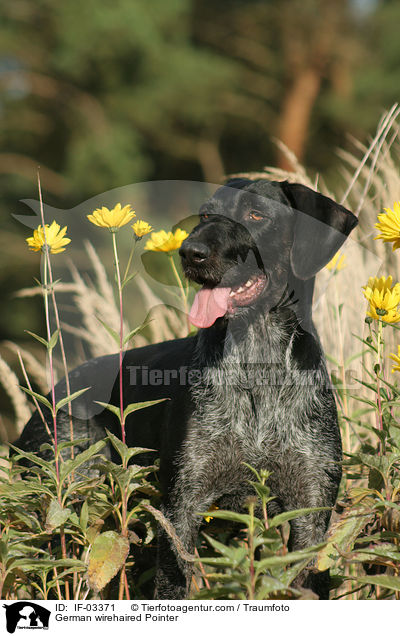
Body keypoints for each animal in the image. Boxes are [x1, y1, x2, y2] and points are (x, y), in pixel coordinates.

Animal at [17, 180, 358, 600]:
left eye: (257, 215)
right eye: (207, 214)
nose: (190, 252)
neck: (258, 364)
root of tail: (54, 393)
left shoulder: (311, 509)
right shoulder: (181, 508)